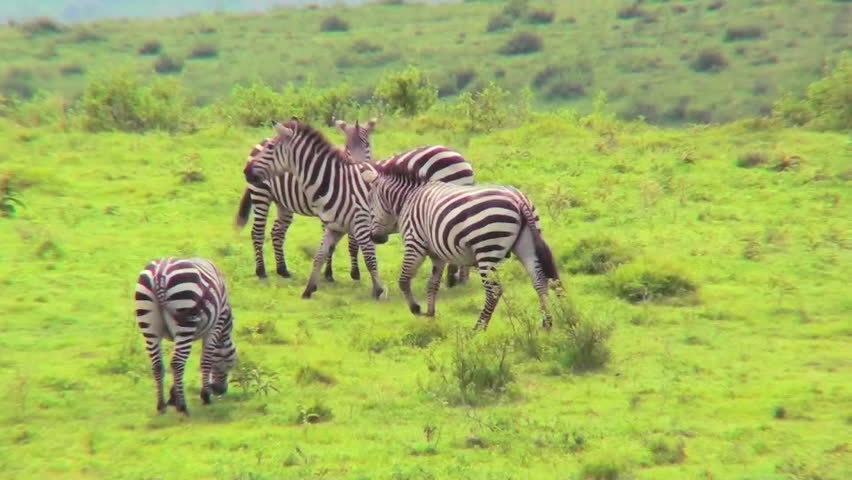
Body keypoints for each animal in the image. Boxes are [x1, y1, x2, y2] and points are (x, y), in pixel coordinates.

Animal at [134, 257, 237, 415]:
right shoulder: (215, 326)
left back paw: (161, 405)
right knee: (177, 362)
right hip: (185, 313)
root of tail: (159, 273)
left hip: (149, 324)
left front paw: (173, 396)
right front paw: (205, 396)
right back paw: (182, 406)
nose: (220, 390)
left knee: (158, 365)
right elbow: (206, 360)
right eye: (233, 359)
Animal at [243, 118, 387, 300]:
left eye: (367, 144)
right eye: (347, 146)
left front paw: (351, 273)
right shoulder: (330, 217)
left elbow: (350, 244)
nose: (360, 167)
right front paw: (334, 274)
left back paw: (282, 270)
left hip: (284, 204)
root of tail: (261, 141)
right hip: (261, 195)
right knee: (257, 232)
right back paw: (261, 271)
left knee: (277, 232)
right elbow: (337, 246)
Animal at [358, 162, 561, 331]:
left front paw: (416, 309)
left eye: (369, 204)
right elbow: (432, 284)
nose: (375, 238)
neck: (408, 199)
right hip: (526, 245)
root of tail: (517, 200)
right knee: (539, 281)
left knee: (494, 291)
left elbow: (404, 279)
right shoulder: (437, 255)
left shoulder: (414, 243)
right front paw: (430, 315)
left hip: (487, 249)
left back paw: (478, 328)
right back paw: (547, 323)